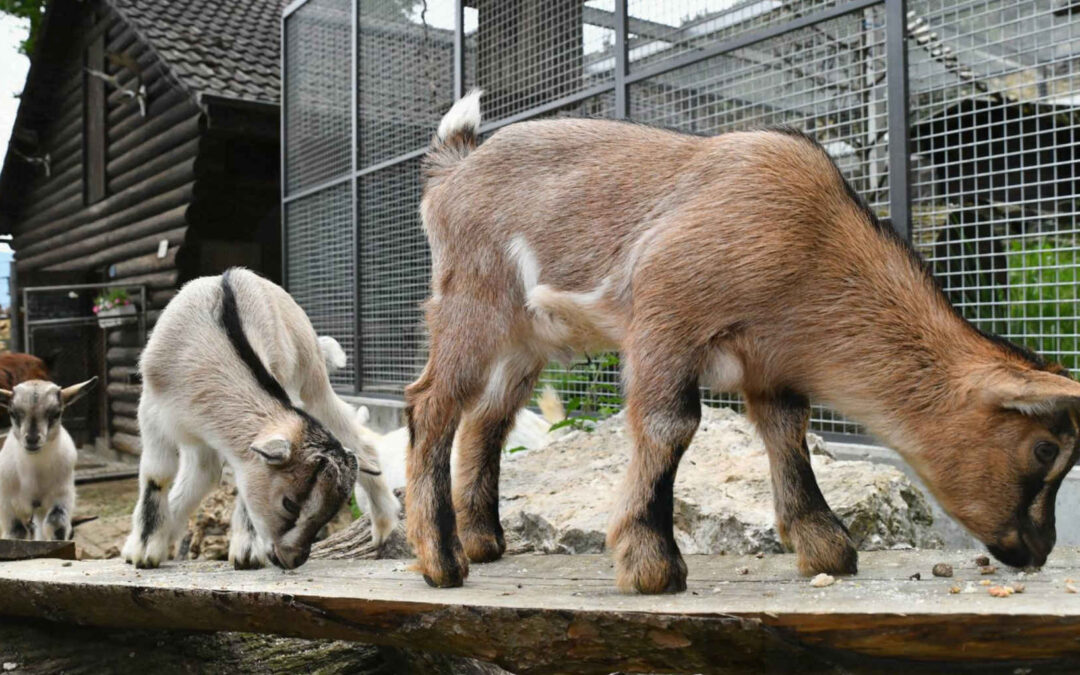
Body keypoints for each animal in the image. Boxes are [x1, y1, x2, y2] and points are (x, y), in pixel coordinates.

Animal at [0, 375, 97, 540]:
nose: (32, 439)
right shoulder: (7, 503)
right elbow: (16, 531)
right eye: (12, 413)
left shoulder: (61, 495)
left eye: (56, 413)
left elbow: (56, 524)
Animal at [403, 92, 1080, 591]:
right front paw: (652, 565)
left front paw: (826, 549)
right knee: (432, 403)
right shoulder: (666, 312)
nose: (1039, 549)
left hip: (525, 339)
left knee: (488, 417)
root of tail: (454, 168)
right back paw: (442, 562)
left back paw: (483, 543)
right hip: (472, 302)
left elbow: (788, 436)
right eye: (1046, 448)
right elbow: (671, 425)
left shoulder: (768, 365)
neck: (814, 239)